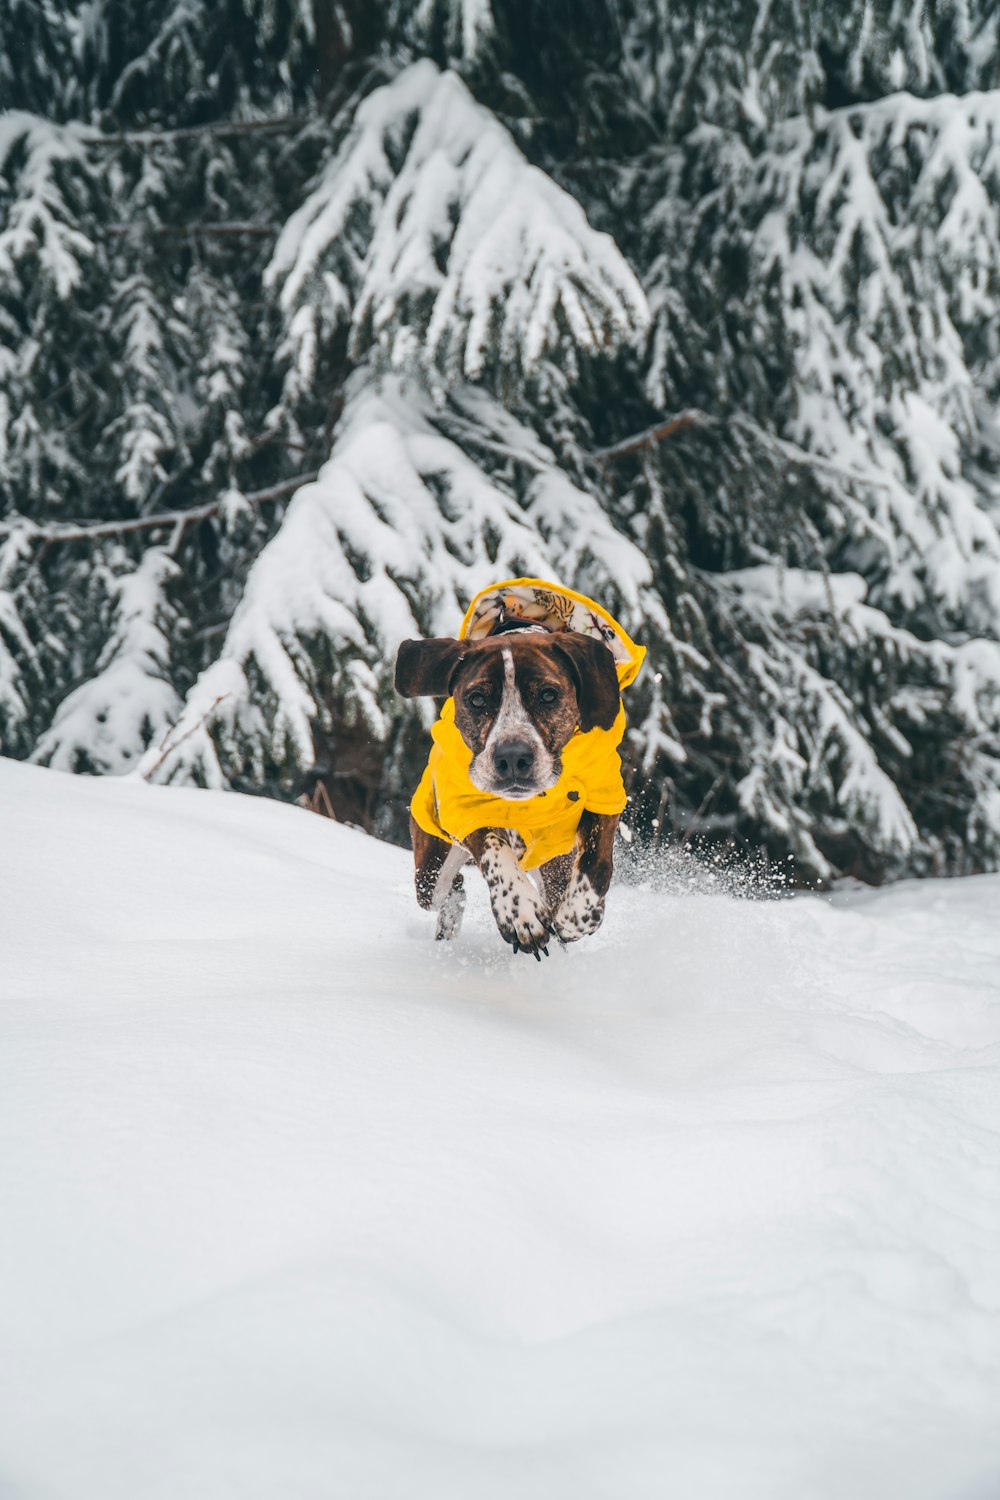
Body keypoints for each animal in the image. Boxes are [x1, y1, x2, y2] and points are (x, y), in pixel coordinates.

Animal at [395, 573, 644, 960]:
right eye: (476, 699)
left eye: (548, 695)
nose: (512, 757)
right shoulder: (465, 806)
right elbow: (494, 848)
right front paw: (520, 912)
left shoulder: (603, 795)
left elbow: (597, 864)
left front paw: (576, 917)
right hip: (431, 866)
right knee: (450, 890)